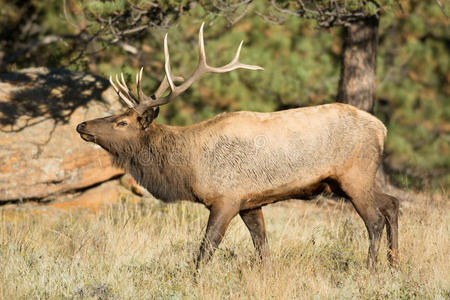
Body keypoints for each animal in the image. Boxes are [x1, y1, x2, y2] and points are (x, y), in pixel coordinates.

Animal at [75, 22, 400, 268]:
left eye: (122, 122)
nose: (82, 126)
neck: (187, 168)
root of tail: (382, 129)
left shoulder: (226, 198)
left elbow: (205, 250)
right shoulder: (250, 203)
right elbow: (262, 248)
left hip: (354, 176)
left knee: (374, 220)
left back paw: (371, 269)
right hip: (346, 182)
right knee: (392, 203)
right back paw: (394, 264)